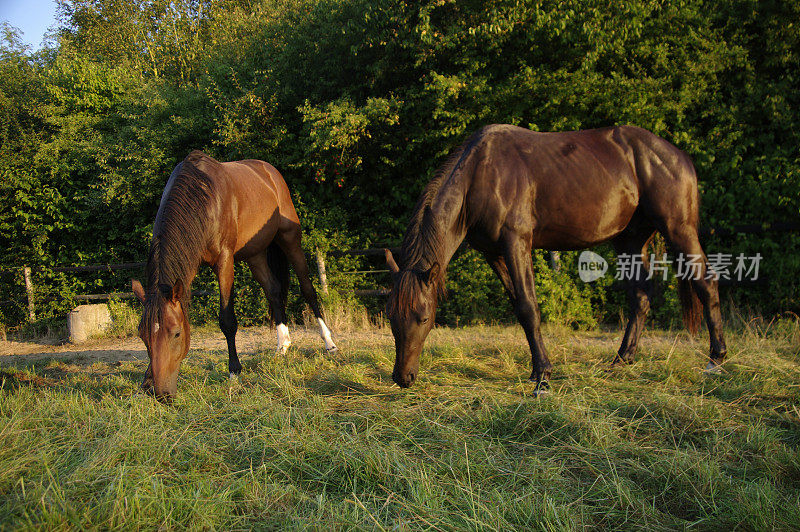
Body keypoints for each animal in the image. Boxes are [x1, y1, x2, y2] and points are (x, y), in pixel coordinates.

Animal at [130, 150, 336, 400]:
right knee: (274, 290)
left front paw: (234, 373)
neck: (203, 199)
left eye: (177, 334)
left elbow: (227, 320)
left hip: (290, 238)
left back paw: (329, 343)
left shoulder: (224, 262)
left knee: (308, 289)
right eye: (143, 336)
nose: (161, 394)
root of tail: (270, 172)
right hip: (255, 254)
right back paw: (282, 346)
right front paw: (146, 380)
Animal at [384, 123, 728, 390]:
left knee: (706, 283)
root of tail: (677, 155)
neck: (480, 174)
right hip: (630, 239)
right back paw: (622, 360)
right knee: (641, 295)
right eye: (390, 317)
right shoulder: (494, 254)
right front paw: (539, 370)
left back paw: (716, 359)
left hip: (678, 229)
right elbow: (519, 307)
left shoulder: (516, 243)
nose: (403, 377)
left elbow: (528, 307)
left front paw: (542, 376)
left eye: (423, 317)